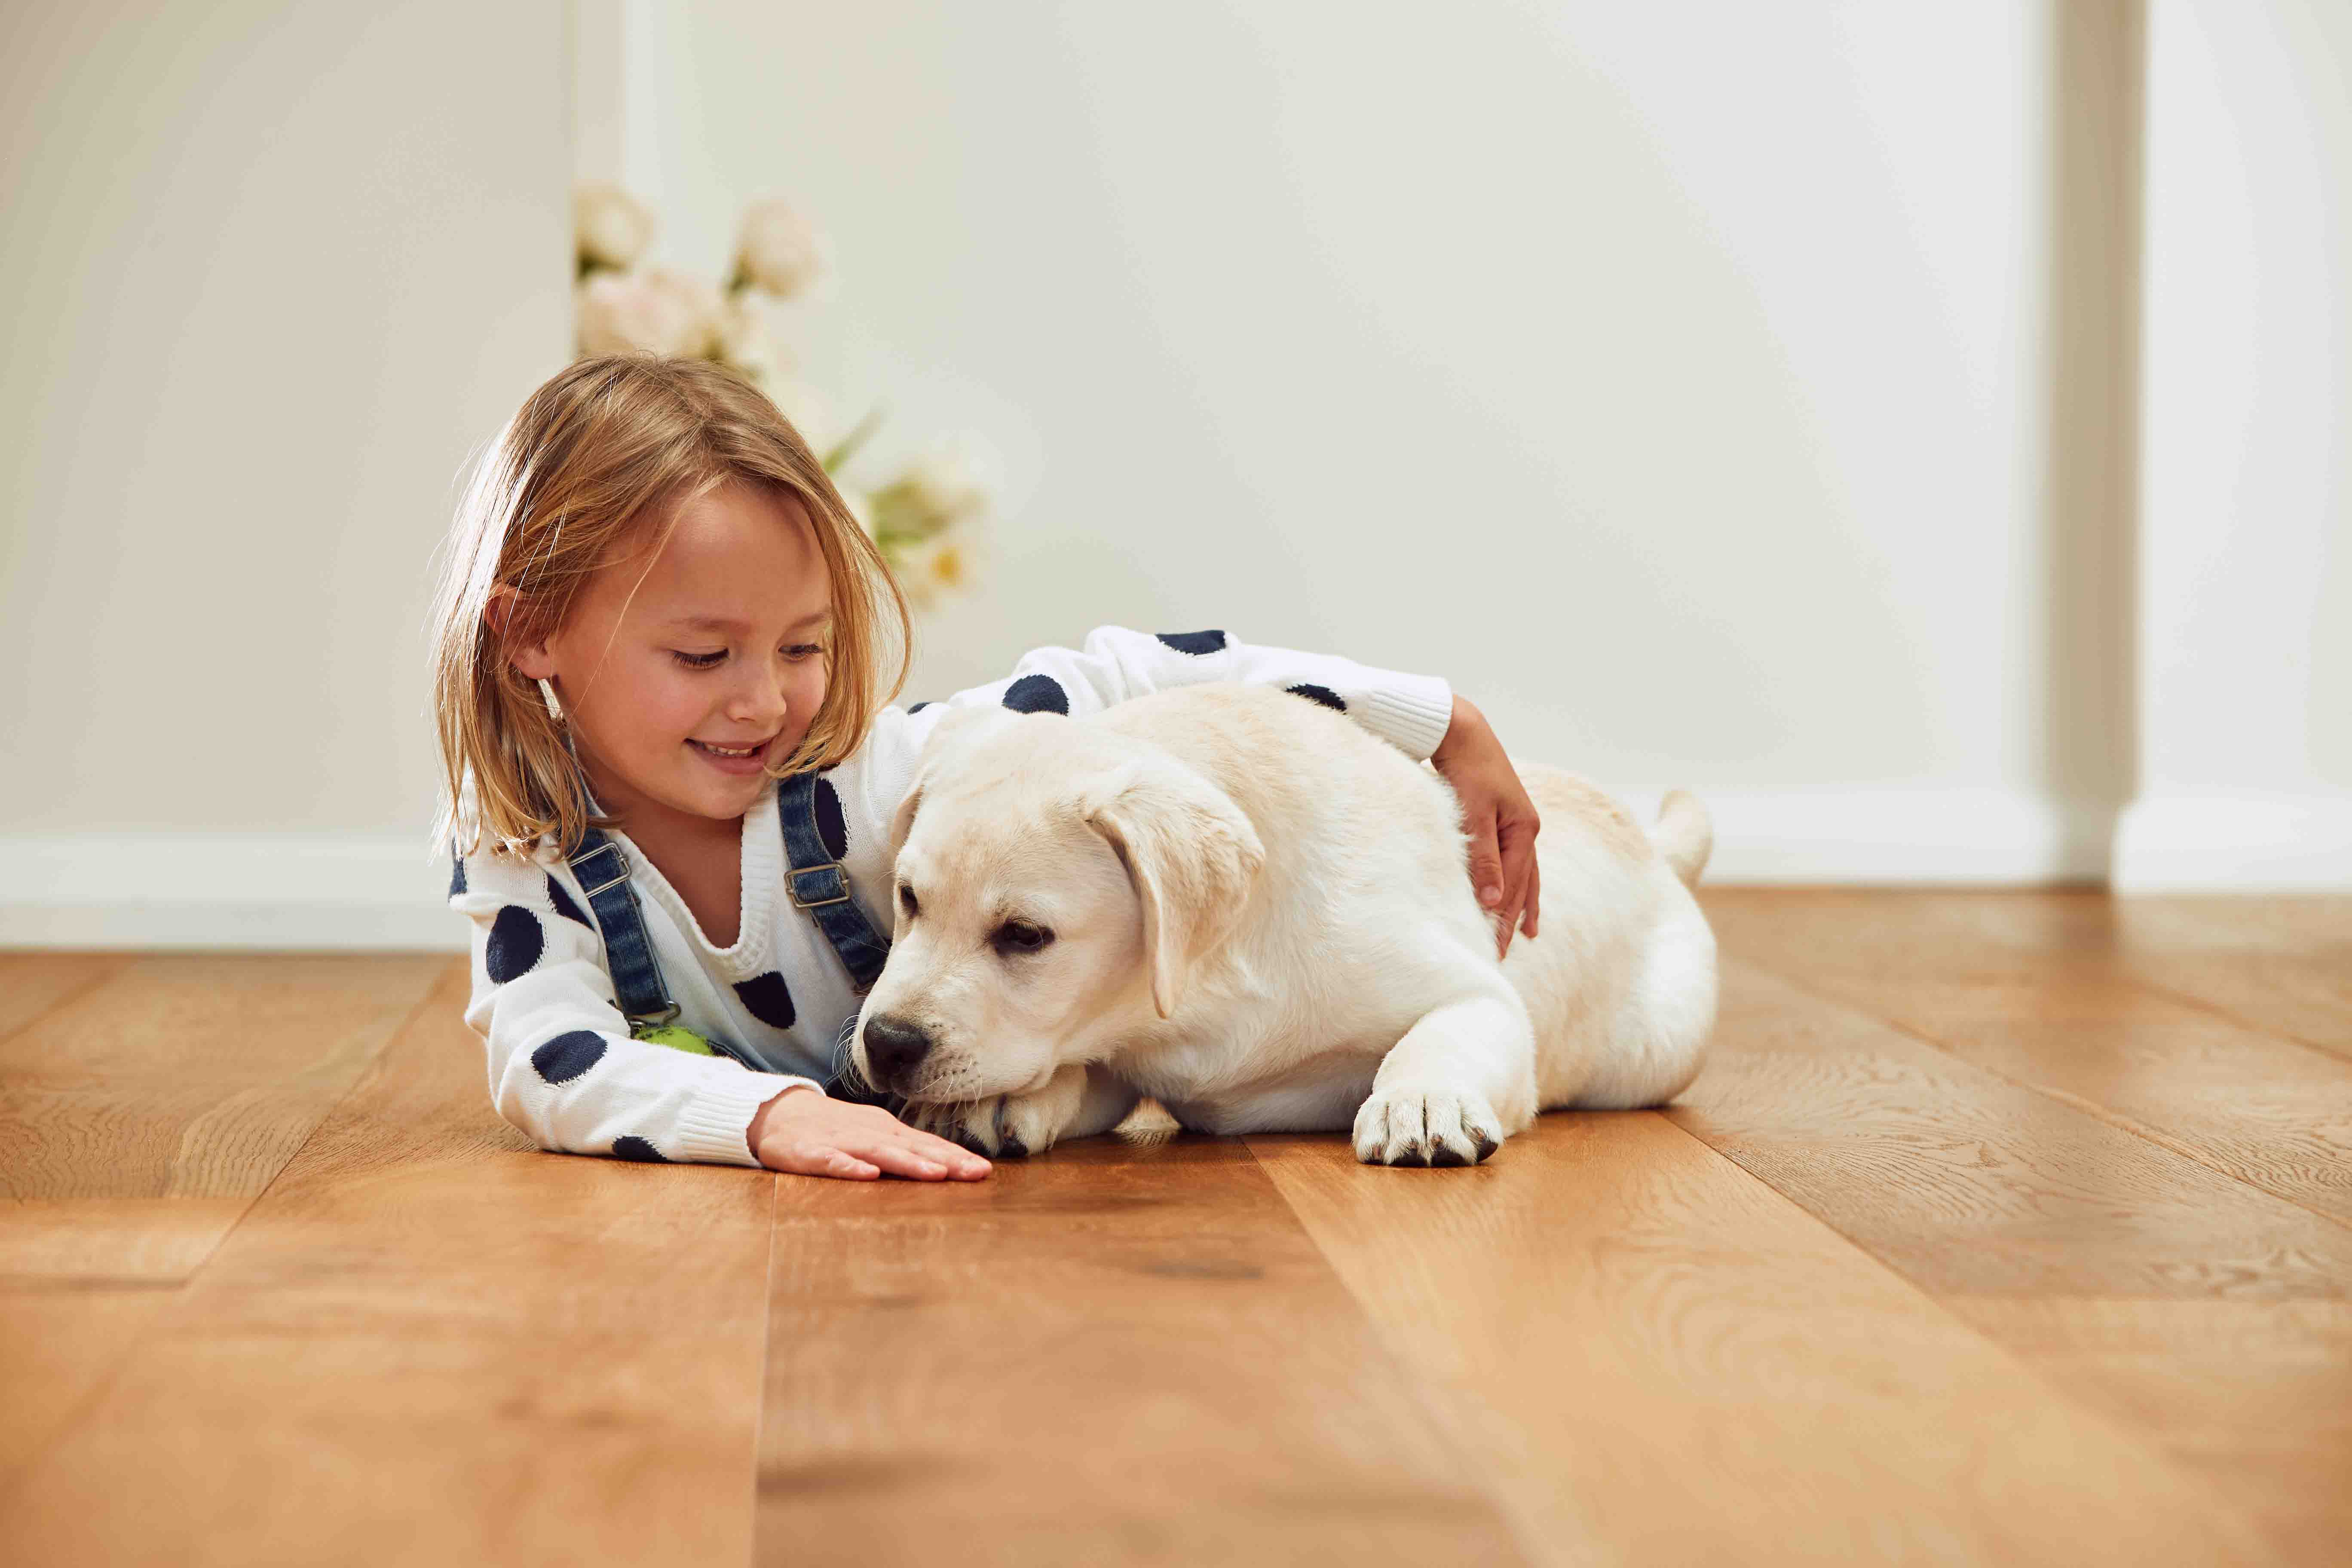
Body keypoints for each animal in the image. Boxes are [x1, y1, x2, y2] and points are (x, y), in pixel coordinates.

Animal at [856, 682, 1721, 1166]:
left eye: (1025, 936)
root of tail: (1654, 846)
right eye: (909, 899)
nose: (887, 1044)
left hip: (1651, 1053)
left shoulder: (1478, 993)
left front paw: (1422, 1102)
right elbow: (1080, 1073)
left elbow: (1444, 1032)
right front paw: (995, 1103)